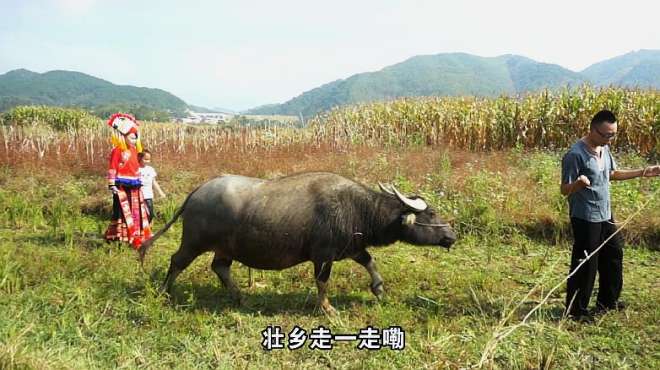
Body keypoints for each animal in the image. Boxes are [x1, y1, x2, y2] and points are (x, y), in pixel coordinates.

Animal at [141, 172, 454, 314]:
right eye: (431, 213)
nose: (451, 235)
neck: (357, 209)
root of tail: (198, 192)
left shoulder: (351, 247)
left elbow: (369, 260)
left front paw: (378, 288)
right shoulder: (323, 256)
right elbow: (322, 282)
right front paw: (327, 308)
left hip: (225, 248)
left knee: (219, 267)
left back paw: (240, 297)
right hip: (193, 242)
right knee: (177, 262)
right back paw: (164, 292)